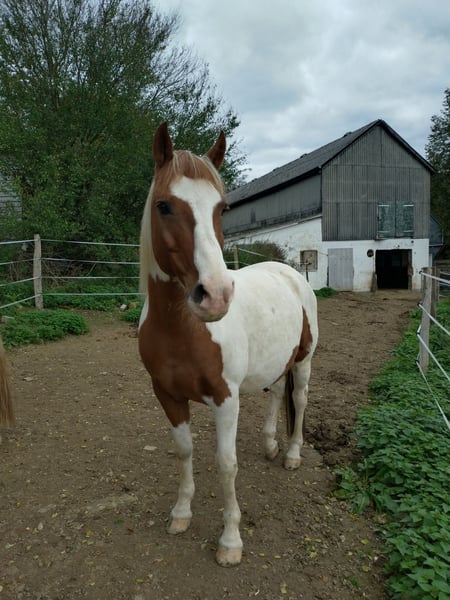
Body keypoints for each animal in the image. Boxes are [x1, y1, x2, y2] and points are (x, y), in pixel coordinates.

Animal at [138, 122, 318, 567]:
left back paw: (291, 454)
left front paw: (231, 541)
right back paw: (270, 445)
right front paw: (181, 513)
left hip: (304, 360)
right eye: (164, 205)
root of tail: (291, 272)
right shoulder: (167, 395)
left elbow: (226, 464)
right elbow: (184, 451)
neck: (182, 330)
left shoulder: (225, 398)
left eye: (222, 208)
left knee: (299, 400)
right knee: (277, 394)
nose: (216, 295)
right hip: (278, 363)